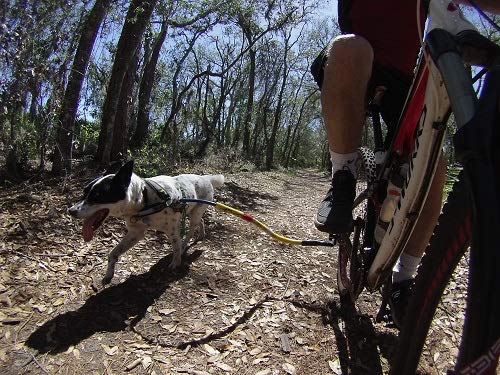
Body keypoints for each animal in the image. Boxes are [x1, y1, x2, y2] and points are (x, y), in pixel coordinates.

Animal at [68, 160, 225, 286]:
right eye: (84, 192)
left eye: (97, 196)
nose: (71, 211)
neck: (144, 200)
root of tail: (205, 178)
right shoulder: (135, 233)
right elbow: (113, 253)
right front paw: (109, 274)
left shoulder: (172, 231)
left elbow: (175, 247)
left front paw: (176, 262)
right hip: (191, 211)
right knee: (201, 221)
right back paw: (200, 235)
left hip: (195, 214)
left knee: (191, 230)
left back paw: (185, 244)